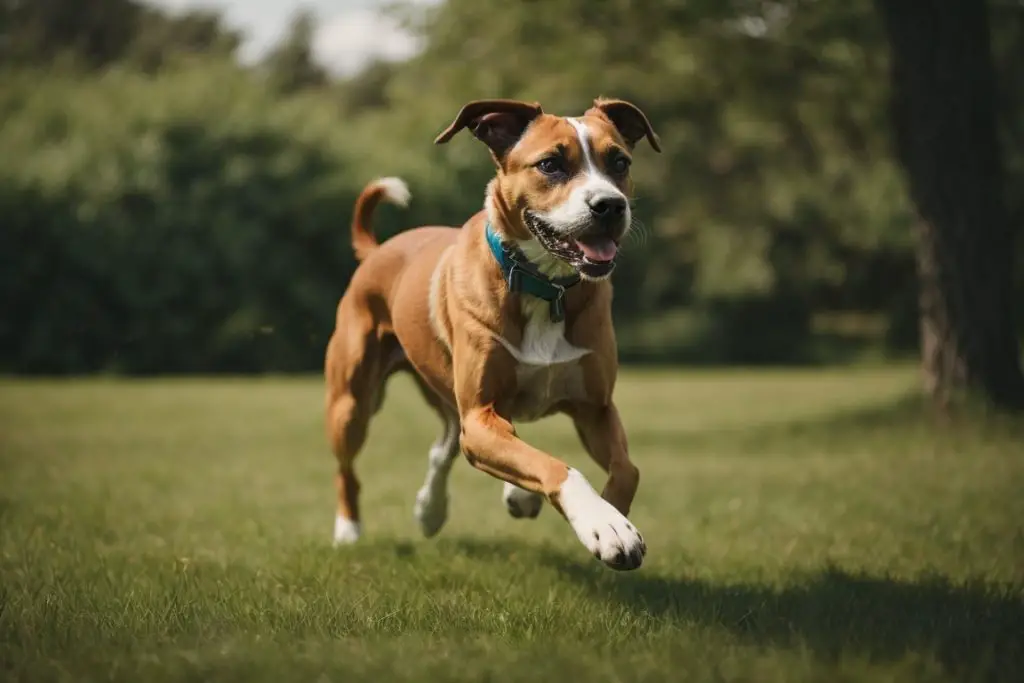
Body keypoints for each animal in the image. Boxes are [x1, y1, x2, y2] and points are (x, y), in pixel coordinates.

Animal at [327, 96, 663, 573]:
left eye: (620, 162)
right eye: (550, 164)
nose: (610, 205)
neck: (546, 287)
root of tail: (378, 250)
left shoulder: (595, 408)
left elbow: (627, 471)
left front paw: (610, 519)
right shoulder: (482, 412)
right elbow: (556, 466)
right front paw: (603, 524)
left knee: (446, 445)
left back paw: (433, 510)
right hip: (352, 400)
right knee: (349, 466)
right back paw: (349, 530)